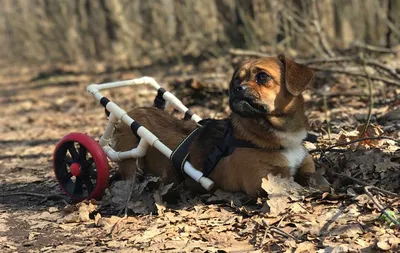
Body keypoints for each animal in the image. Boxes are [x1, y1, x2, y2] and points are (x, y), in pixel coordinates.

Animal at [111, 54, 316, 196]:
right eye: (236, 80)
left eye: (262, 77)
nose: (237, 88)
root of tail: (132, 111)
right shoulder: (261, 180)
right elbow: (291, 185)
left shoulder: (305, 165)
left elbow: (310, 174)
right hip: (132, 162)